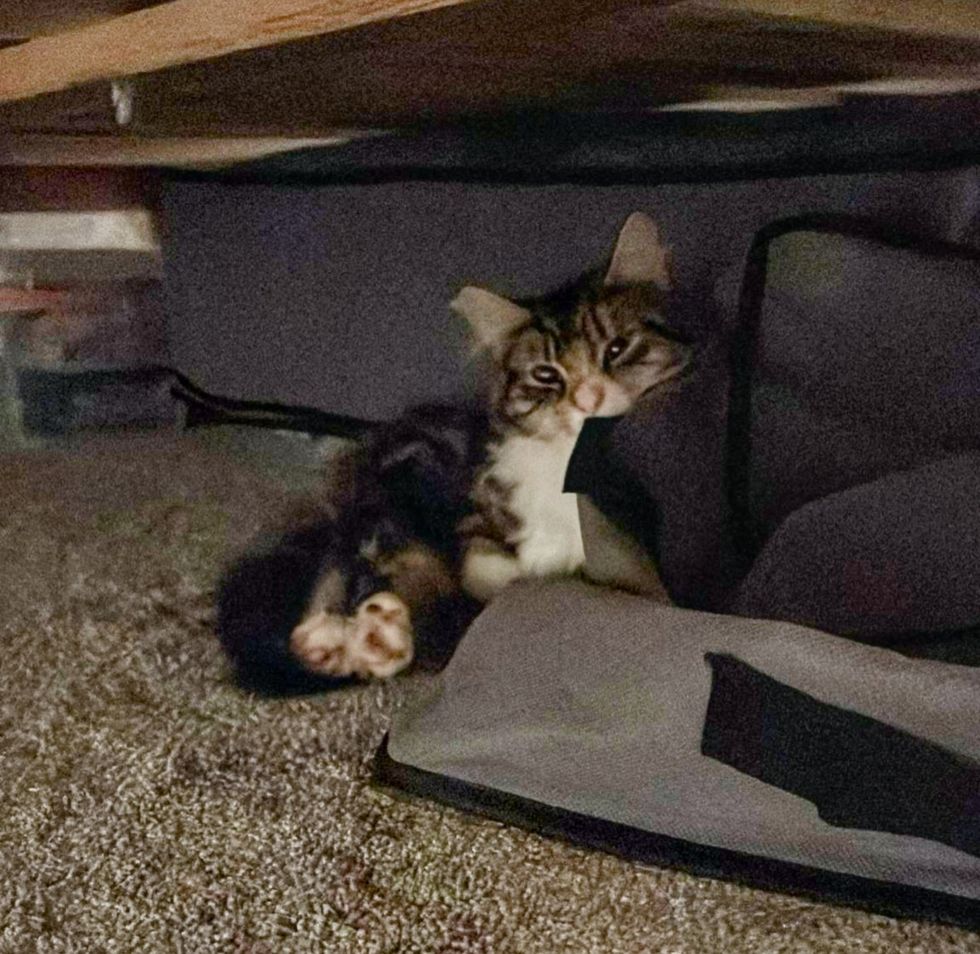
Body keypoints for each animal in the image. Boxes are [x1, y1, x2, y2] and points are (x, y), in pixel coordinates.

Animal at [216, 212, 688, 692]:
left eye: (617, 348)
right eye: (546, 374)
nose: (588, 398)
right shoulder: (475, 520)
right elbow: (482, 569)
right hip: (387, 509)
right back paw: (355, 640)